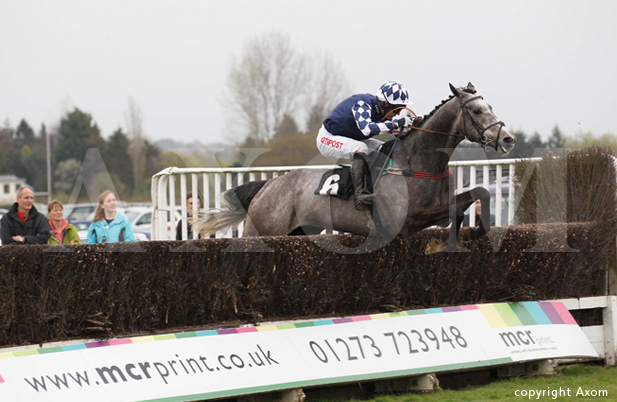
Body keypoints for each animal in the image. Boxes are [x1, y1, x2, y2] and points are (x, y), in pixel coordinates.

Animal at [197, 82, 516, 251]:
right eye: (477, 111)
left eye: (490, 107)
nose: (508, 138)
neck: (418, 161)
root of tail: (269, 185)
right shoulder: (406, 221)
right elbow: (456, 211)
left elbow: (478, 194)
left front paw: (477, 231)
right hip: (259, 231)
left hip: (299, 232)